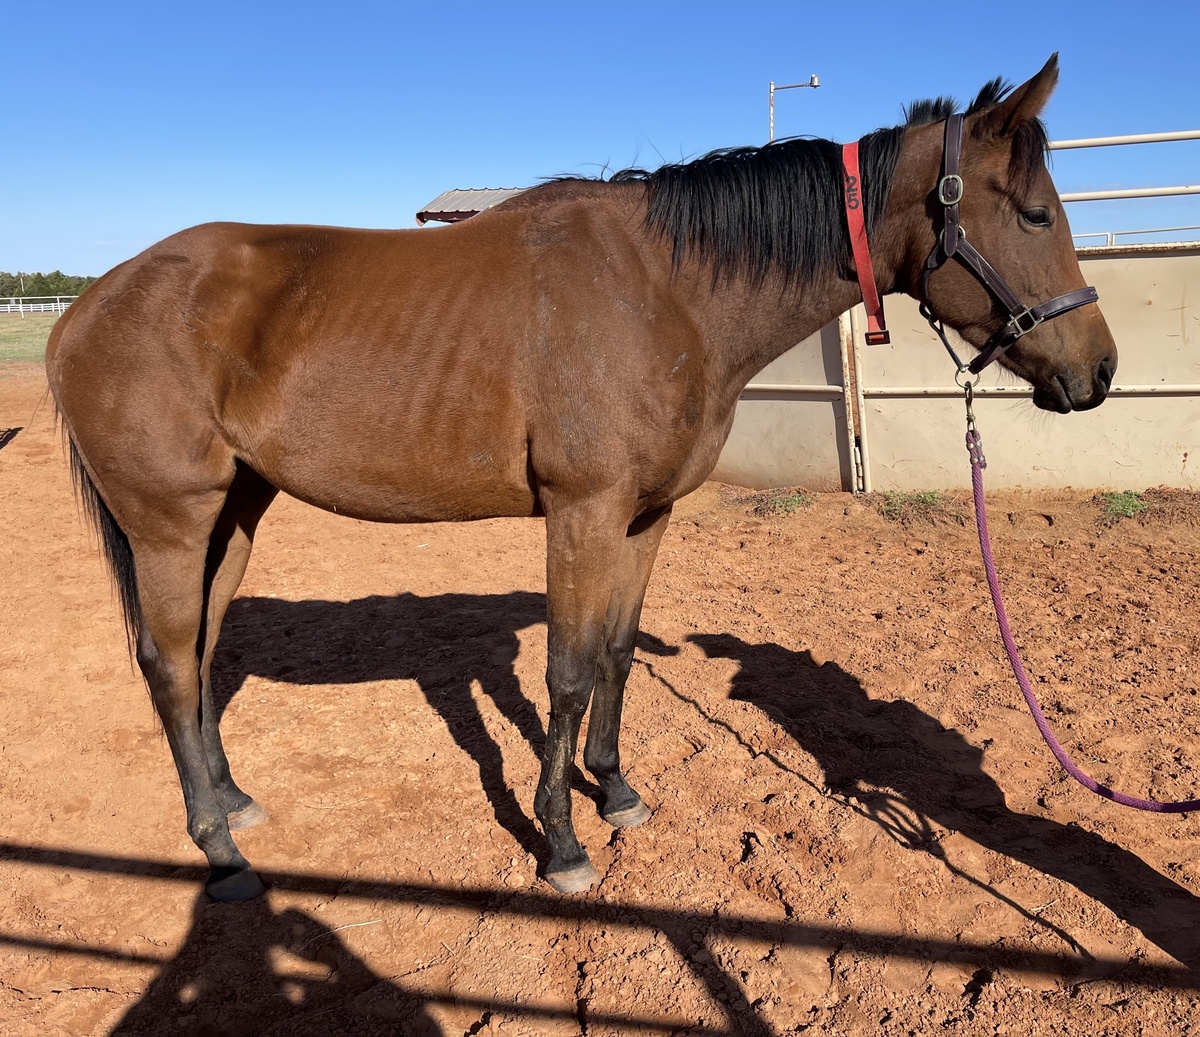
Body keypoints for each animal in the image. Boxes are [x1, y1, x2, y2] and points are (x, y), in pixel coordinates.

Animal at [46, 55, 1115, 901]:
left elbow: (615, 653)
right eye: (1034, 213)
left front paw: (619, 791)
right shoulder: (582, 513)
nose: (1099, 372)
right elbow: (563, 673)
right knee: (168, 664)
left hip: (235, 514)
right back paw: (218, 850)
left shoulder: (645, 517)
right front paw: (560, 843)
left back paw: (232, 799)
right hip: (170, 525)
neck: (668, 292)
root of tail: (85, 307)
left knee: (198, 660)